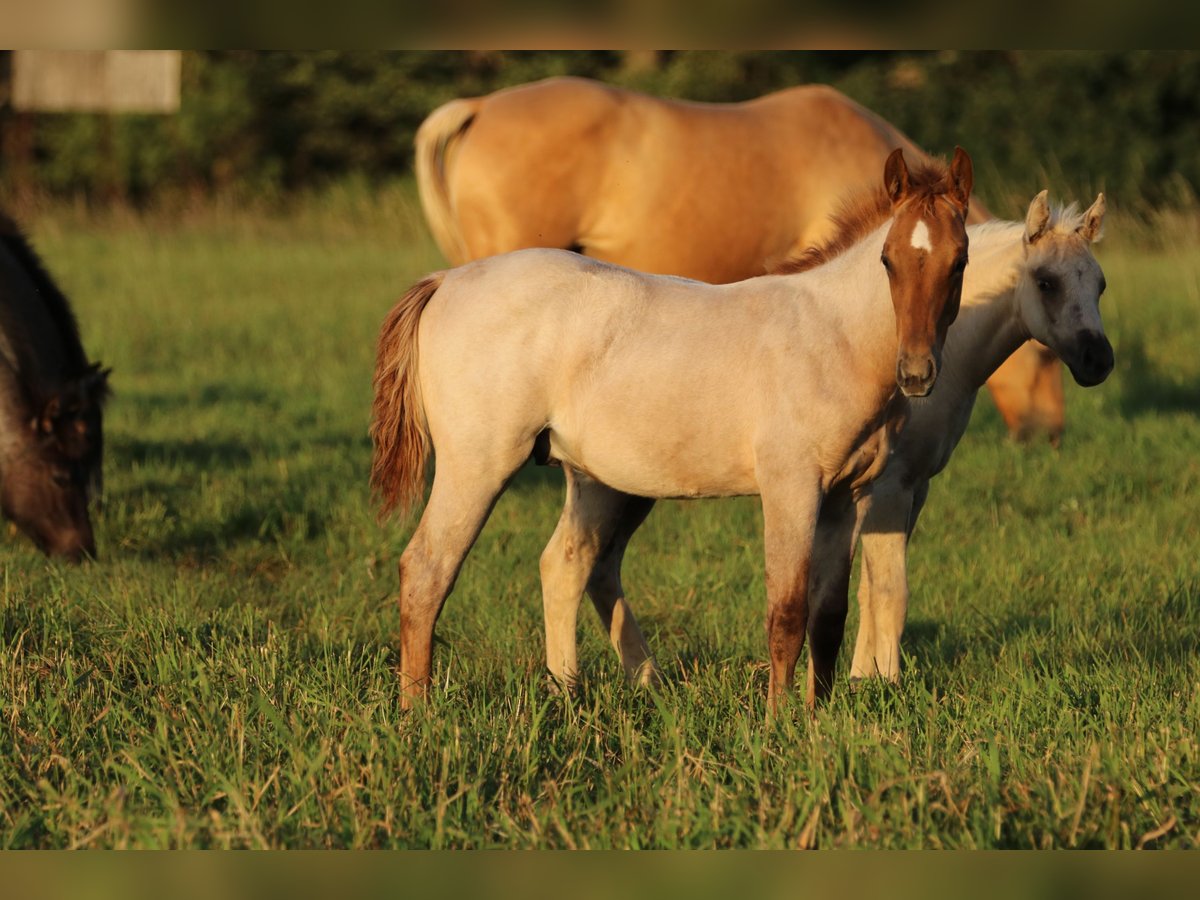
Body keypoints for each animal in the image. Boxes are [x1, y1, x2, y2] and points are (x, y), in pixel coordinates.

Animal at [374, 146, 974, 710]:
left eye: (960, 260)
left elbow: (828, 614)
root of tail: (447, 280)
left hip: (596, 481)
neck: (833, 338)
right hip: (478, 466)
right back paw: (417, 710)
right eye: (888, 260)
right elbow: (786, 611)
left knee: (566, 565)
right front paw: (779, 721)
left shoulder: (848, 496)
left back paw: (568, 693)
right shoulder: (792, 488)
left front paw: (817, 715)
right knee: (426, 570)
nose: (917, 373)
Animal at [566, 188, 1108, 696]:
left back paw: (639, 680)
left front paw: (861, 676)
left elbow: (866, 587)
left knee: (591, 564)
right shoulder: (887, 488)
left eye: (1100, 284)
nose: (1097, 359)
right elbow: (888, 589)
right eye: (1046, 282)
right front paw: (878, 682)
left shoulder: (909, 488)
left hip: (622, 484)